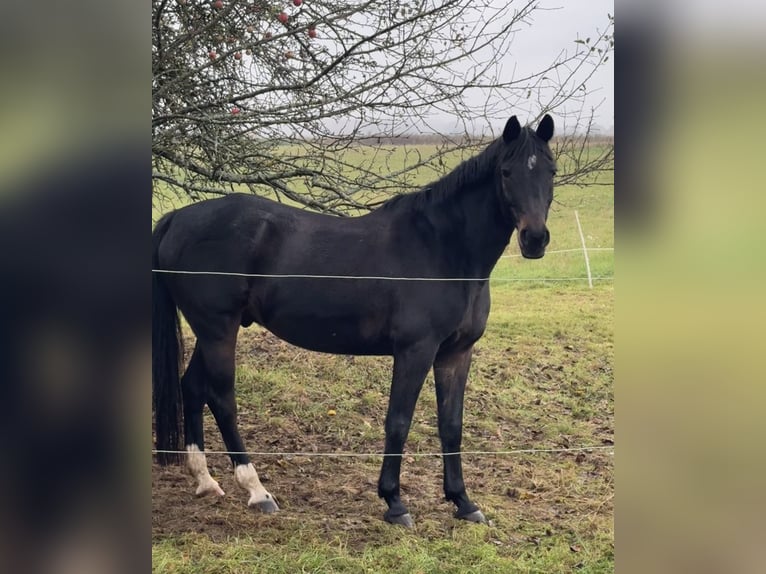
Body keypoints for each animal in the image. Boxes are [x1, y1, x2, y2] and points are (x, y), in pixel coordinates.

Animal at [152, 114, 556, 528]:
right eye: (506, 172)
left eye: (551, 170)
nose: (535, 239)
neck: (444, 249)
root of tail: (177, 218)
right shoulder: (415, 351)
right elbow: (398, 421)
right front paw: (394, 502)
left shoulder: (456, 354)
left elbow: (451, 426)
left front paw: (463, 501)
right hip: (218, 330)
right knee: (222, 399)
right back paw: (257, 491)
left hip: (212, 332)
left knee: (192, 388)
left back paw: (206, 481)